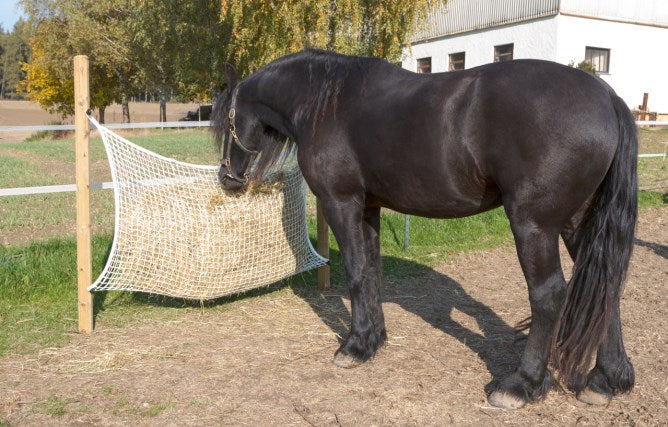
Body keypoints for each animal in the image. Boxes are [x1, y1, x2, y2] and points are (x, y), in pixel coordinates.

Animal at [213, 48, 636, 410]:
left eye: (226, 120)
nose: (226, 178)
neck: (325, 103)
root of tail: (607, 96)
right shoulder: (368, 207)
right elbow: (371, 272)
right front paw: (373, 341)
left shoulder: (341, 203)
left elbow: (354, 272)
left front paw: (353, 347)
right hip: (578, 222)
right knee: (607, 285)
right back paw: (606, 380)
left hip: (535, 226)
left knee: (549, 296)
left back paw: (522, 384)